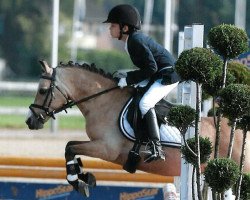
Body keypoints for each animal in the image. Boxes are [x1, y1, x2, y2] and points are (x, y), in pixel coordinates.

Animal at [25, 60, 250, 196]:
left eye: (42, 90)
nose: (30, 121)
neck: (104, 101)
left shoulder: (106, 148)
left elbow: (70, 146)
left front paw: (79, 181)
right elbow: (70, 147)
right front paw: (84, 176)